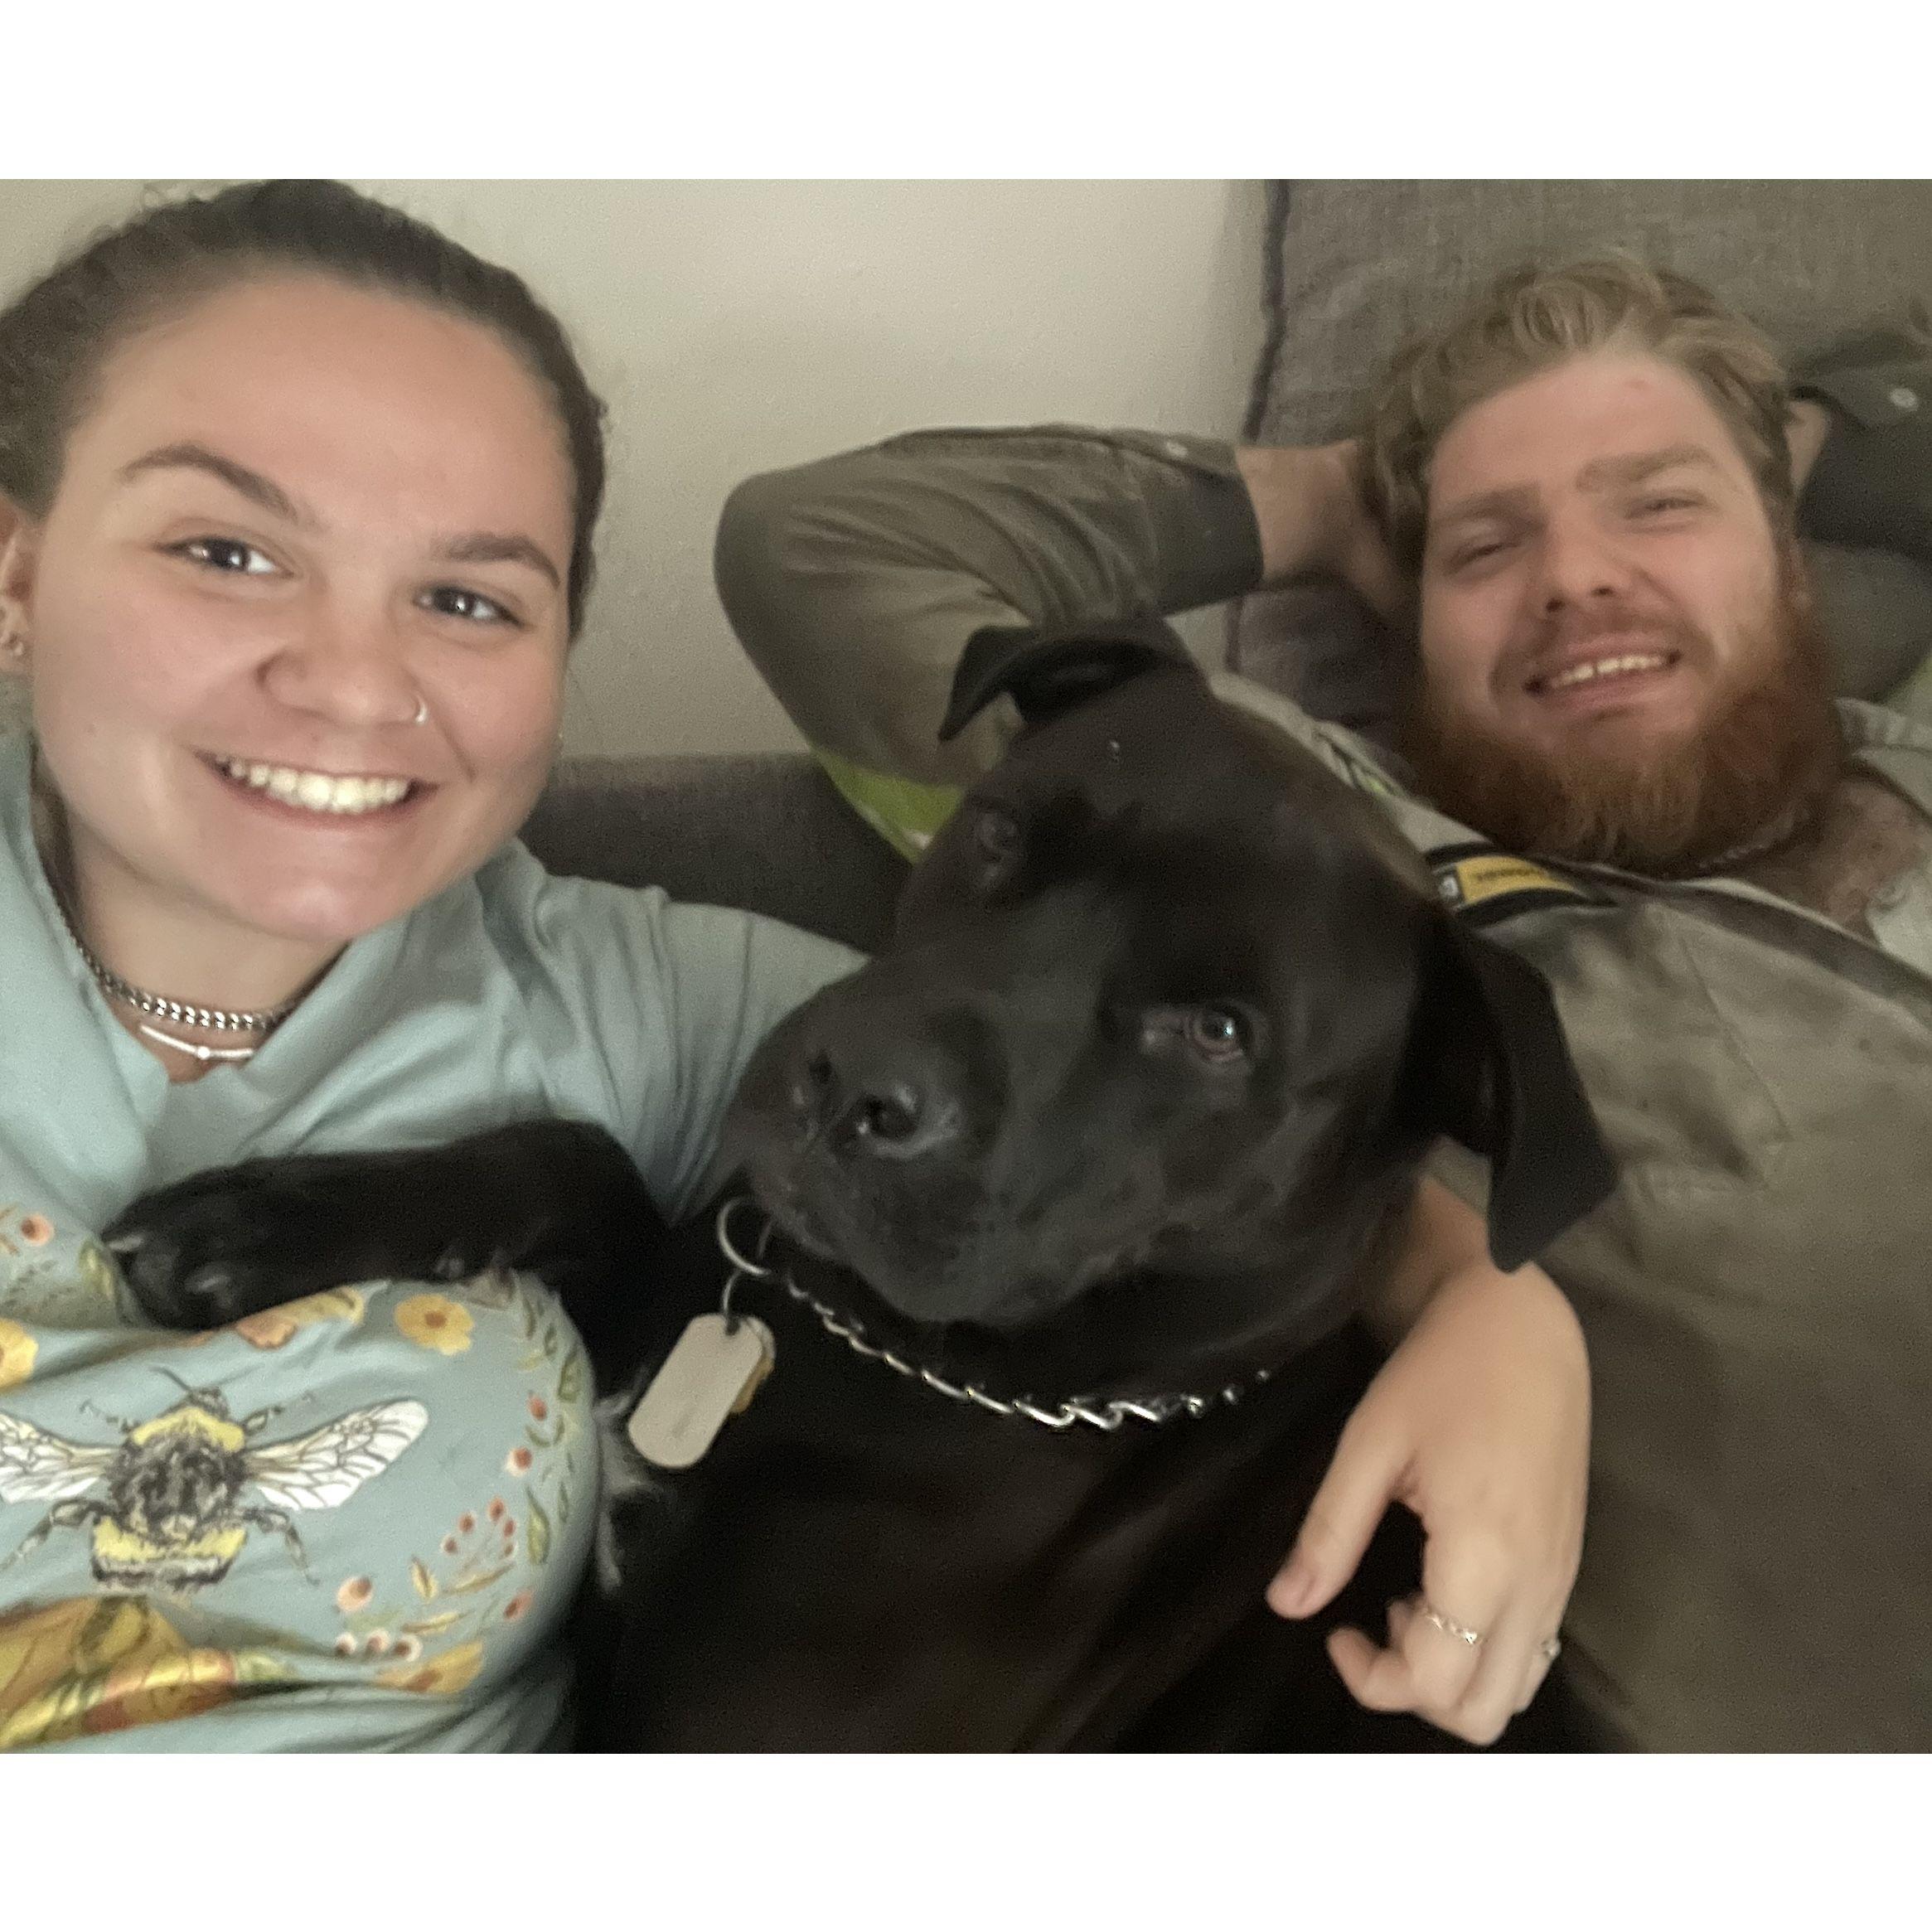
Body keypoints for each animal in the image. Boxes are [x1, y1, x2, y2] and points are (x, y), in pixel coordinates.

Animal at [112, 618, 1614, 1750]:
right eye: (1000, 832)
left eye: (1220, 1033)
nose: (851, 1087)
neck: (890, 1359)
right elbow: (580, 1155)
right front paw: (261, 1225)